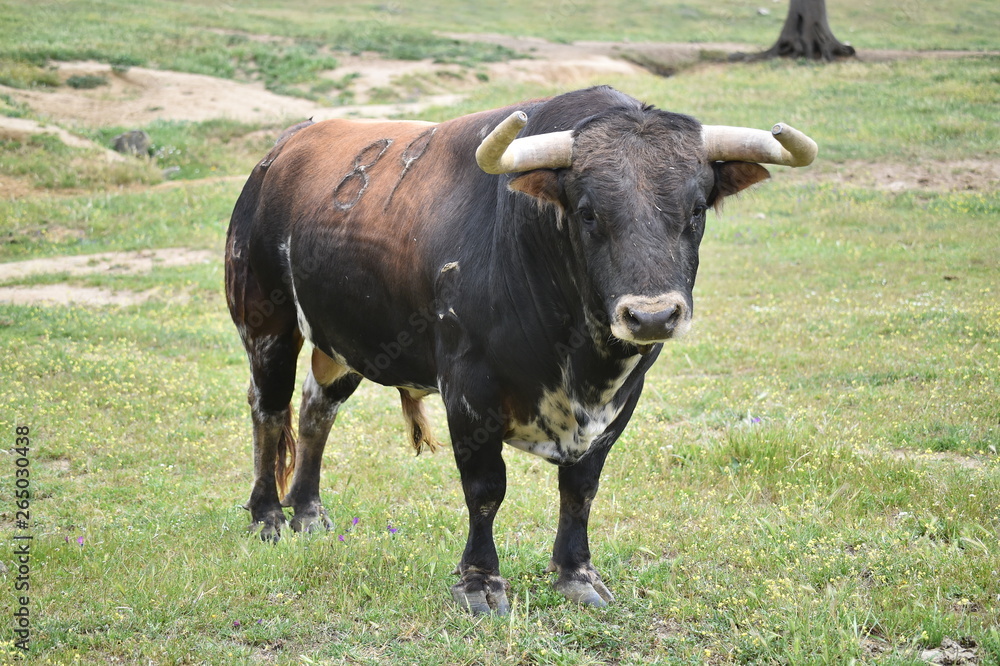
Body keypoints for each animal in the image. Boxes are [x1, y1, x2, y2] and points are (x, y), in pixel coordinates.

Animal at [225, 84, 812, 612]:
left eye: (696, 210)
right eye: (588, 211)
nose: (651, 316)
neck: (578, 358)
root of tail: (284, 148)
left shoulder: (623, 397)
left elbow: (581, 487)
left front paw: (576, 575)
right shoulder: (467, 391)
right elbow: (486, 490)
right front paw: (480, 583)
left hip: (344, 339)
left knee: (316, 410)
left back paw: (309, 514)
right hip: (266, 321)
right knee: (269, 410)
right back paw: (268, 517)